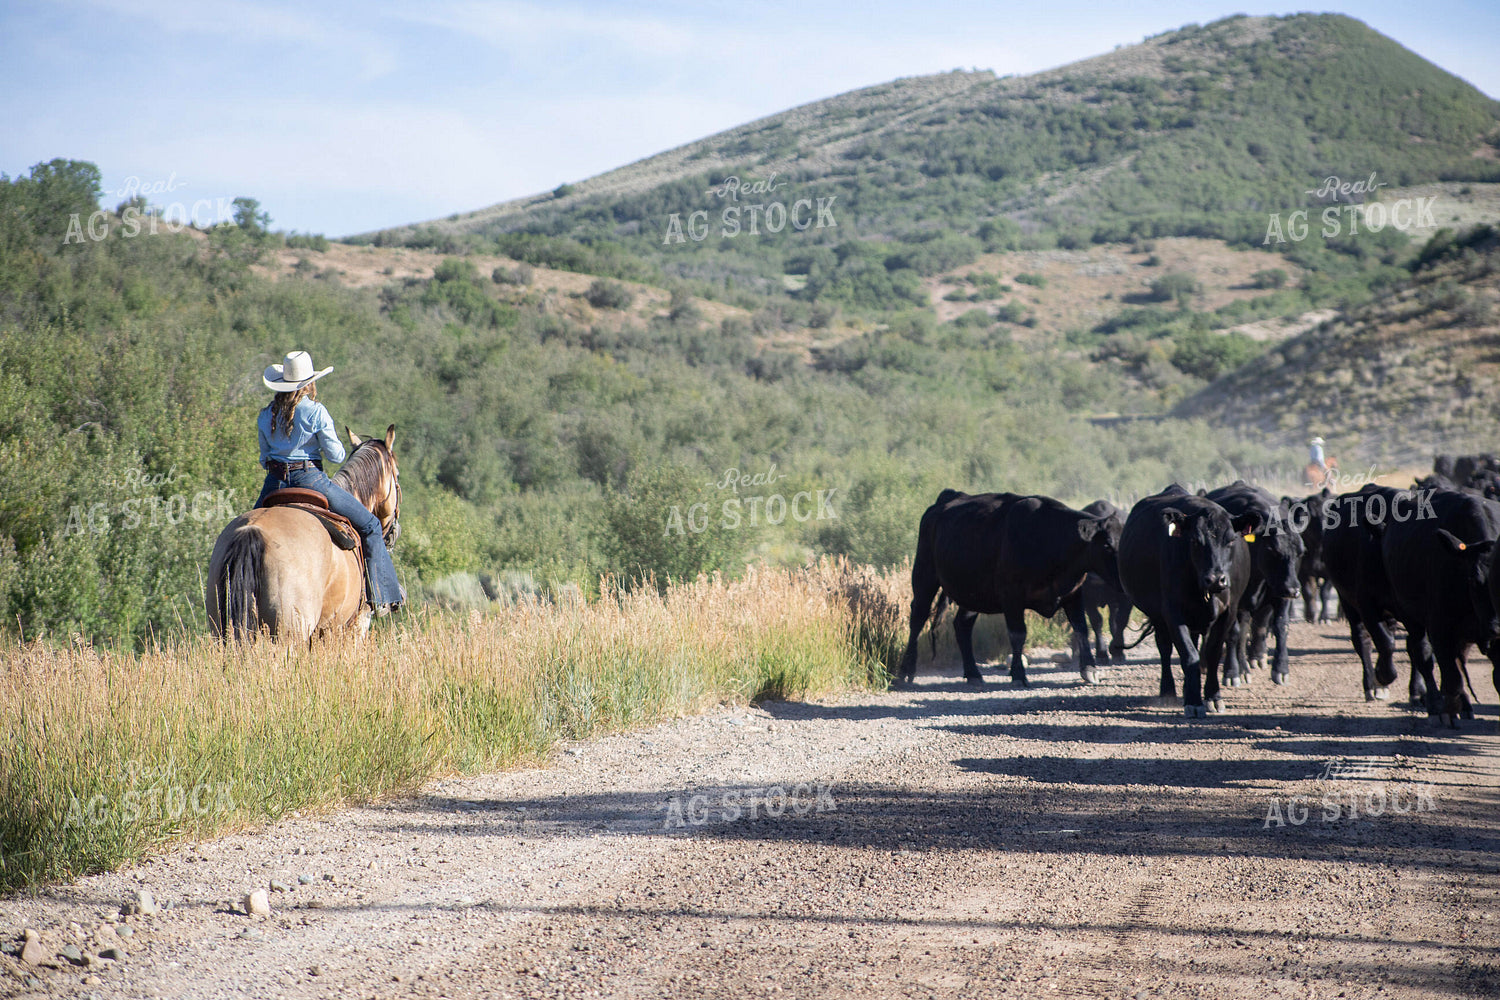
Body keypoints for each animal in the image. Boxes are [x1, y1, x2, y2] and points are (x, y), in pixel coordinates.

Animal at [897, 489, 1122, 688]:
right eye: (1107, 545)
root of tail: (947, 498)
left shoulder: (1073, 593)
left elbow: (1081, 628)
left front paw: (1090, 669)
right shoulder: (1011, 596)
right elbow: (1018, 634)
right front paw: (1018, 675)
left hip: (973, 592)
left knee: (962, 625)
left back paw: (973, 674)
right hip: (924, 575)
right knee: (918, 618)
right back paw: (905, 672)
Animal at [1117, 485, 1252, 717]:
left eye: (1231, 541)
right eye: (1195, 541)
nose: (1215, 579)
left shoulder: (1228, 612)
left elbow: (1212, 653)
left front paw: (1213, 697)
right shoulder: (1173, 612)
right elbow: (1189, 655)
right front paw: (1194, 702)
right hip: (1158, 616)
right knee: (1164, 648)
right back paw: (1168, 692)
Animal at [1207, 482, 1303, 686]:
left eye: (1300, 551)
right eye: (1273, 550)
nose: (1293, 589)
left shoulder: (1279, 595)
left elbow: (1281, 625)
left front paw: (1281, 669)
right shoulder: (1235, 602)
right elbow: (1235, 633)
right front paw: (1233, 672)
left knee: (1259, 624)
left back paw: (1257, 656)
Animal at [1382, 487, 1500, 726]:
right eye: (1473, 579)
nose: (1496, 628)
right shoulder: (1440, 628)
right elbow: (1452, 677)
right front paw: (1448, 711)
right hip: (1412, 619)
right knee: (1423, 656)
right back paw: (1437, 704)